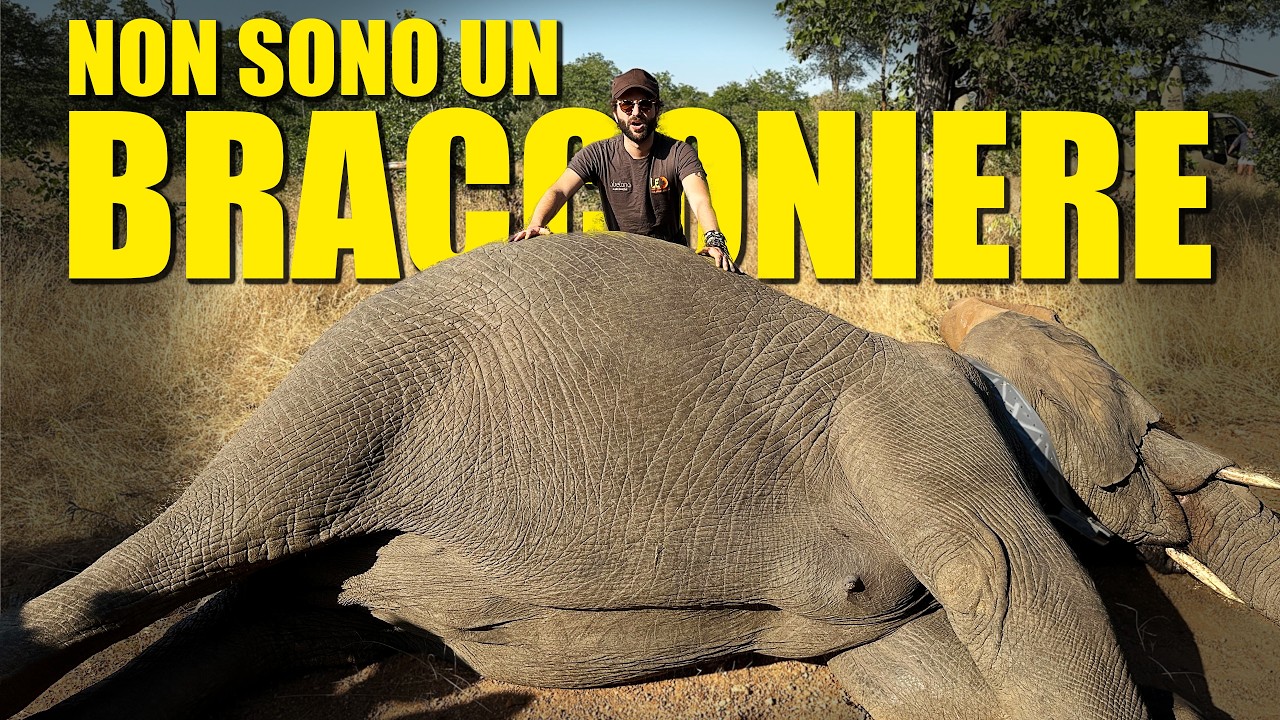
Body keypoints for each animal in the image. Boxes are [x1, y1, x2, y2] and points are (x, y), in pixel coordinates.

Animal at [2, 233, 1276, 720]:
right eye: (1149, 427)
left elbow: (927, 681)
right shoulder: (911, 411)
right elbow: (1012, 580)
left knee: (238, 622)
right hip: (349, 399)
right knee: (143, 573)